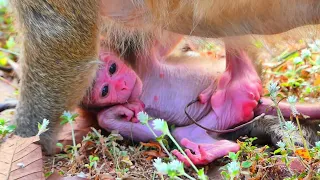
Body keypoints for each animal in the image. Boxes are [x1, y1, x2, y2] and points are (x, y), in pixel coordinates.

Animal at [11, 0, 320, 154]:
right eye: (105, 90)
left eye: (113, 69)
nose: (123, 84)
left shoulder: (140, 59)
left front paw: (37, 142)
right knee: (194, 127)